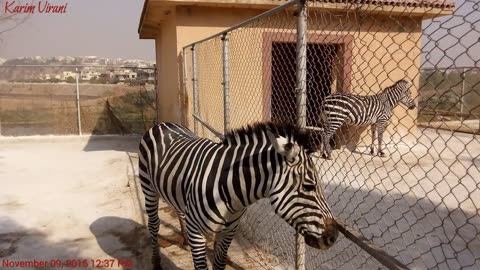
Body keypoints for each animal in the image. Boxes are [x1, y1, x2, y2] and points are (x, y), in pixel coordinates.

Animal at [139, 122, 340, 270]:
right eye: (309, 186)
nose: (334, 236)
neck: (231, 192)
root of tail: (162, 124)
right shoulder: (197, 232)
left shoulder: (229, 230)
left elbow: (220, 263)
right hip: (148, 188)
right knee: (154, 224)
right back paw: (156, 263)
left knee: (180, 212)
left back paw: (184, 239)